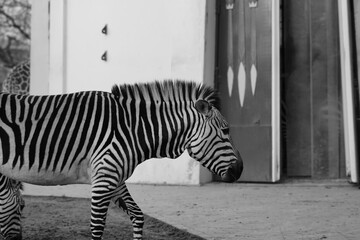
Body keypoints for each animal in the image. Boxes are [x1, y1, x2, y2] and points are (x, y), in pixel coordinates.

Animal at [0, 81, 243, 240]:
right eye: (225, 130)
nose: (240, 170)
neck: (132, 129)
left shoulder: (114, 178)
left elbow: (138, 216)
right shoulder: (104, 178)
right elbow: (97, 228)